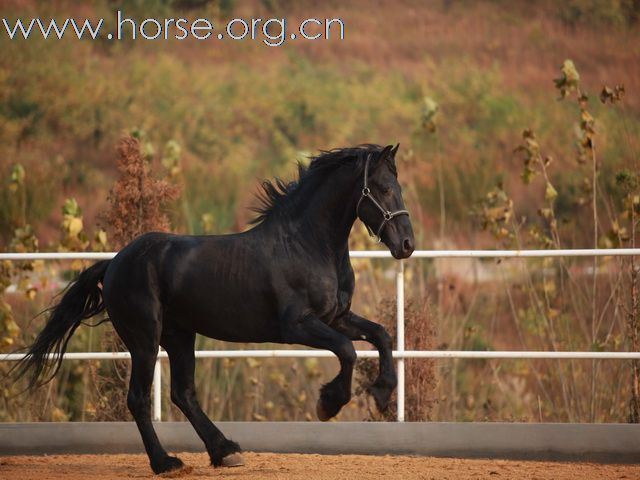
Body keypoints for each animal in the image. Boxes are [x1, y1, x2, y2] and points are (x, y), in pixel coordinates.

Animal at [15, 142, 418, 472]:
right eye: (383, 189)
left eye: (399, 188)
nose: (407, 245)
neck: (306, 244)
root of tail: (114, 263)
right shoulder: (297, 326)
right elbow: (348, 351)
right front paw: (329, 404)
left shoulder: (337, 316)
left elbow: (381, 335)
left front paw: (382, 395)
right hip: (145, 340)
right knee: (140, 399)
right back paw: (167, 463)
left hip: (180, 336)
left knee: (183, 394)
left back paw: (225, 451)